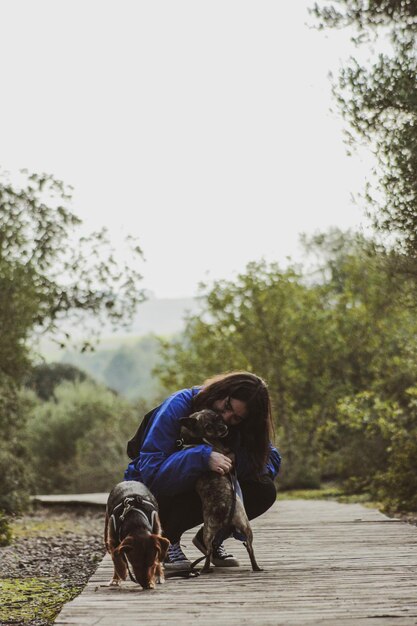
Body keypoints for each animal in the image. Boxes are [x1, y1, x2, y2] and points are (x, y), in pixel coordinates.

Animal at [178, 408, 262, 572]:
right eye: (208, 427)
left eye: (219, 417)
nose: (224, 428)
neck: (196, 439)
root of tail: (223, 512)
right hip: (244, 525)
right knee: (249, 548)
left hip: (212, 532)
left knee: (210, 551)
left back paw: (206, 569)